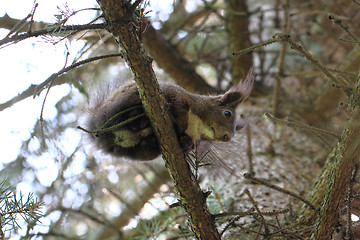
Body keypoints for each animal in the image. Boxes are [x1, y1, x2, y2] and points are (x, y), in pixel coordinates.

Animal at [81, 68, 256, 160]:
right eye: (227, 113)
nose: (228, 137)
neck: (197, 125)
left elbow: (189, 144)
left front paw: (186, 143)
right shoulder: (176, 96)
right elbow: (178, 106)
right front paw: (180, 124)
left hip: (133, 152)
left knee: (145, 150)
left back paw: (149, 139)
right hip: (126, 99)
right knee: (127, 114)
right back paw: (139, 119)